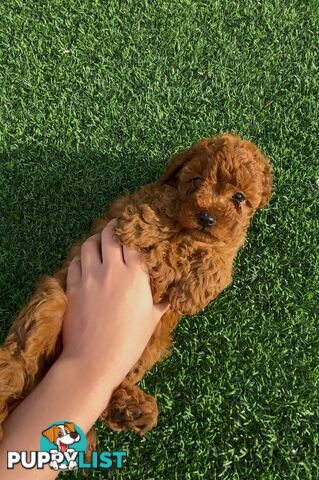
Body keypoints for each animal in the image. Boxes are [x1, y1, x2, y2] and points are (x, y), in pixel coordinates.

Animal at [0, 132, 272, 446]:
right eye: (194, 181)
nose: (206, 218)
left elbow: (220, 259)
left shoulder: (227, 244)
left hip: (149, 347)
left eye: (239, 197)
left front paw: (190, 294)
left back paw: (130, 409)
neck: (188, 233)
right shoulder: (139, 201)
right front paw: (141, 232)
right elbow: (158, 206)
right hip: (51, 301)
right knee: (20, 360)